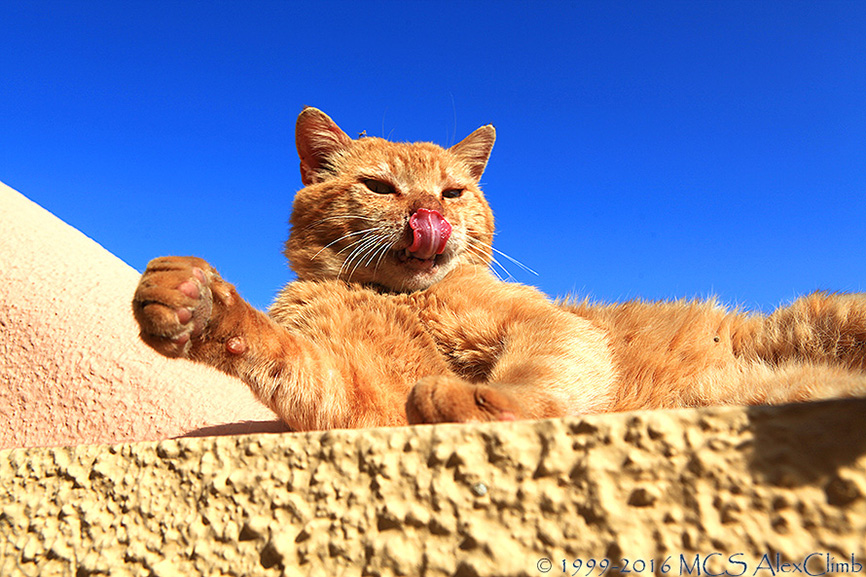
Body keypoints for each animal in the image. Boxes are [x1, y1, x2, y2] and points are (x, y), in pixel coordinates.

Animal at [130, 106, 864, 430]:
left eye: (453, 191)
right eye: (379, 186)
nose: (431, 213)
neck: (406, 299)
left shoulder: (541, 325)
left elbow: (537, 371)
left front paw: (486, 400)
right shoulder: (366, 399)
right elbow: (295, 359)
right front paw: (200, 305)